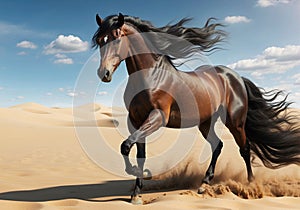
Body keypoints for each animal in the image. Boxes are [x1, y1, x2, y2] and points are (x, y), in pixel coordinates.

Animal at [92, 12, 300, 203]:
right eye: (100, 41)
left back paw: (250, 184)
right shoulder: (135, 120)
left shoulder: (158, 117)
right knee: (218, 145)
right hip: (205, 122)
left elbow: (126, 146)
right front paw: (136, 193)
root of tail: (236, 77)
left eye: (117, 37)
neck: (151, 76)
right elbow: (135, 150)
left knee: (245, 148)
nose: (104, 73)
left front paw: (140, 178)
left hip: (235, 122)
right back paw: (204, 183)